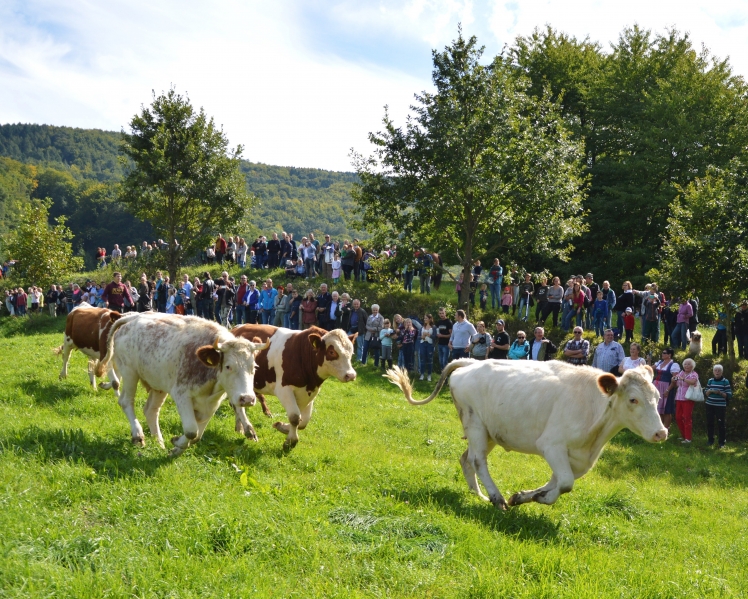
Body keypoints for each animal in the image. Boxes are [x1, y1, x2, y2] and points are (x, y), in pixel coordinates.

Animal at [95, 312, 266, 458]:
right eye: (229, 366)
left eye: (254, 367)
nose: (247, 399)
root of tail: (131, 317)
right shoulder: (181, 394)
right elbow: (191, 431)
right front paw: (177, 443)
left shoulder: (212, 403)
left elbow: (197, 436)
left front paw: (176, 448)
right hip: (130, 372)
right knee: (126, 402)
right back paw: (138, 435)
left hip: (158, 383)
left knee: (151, 410)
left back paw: (159, 443)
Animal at [386, 358, 668, 508]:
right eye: (633, 400)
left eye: (657, 396)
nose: (661, 433)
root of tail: (472, 362)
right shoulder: (551, 445)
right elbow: (565, 483)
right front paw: (537, 498)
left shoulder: (579, 460)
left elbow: (558, 482)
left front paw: (524, 496)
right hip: (475, 423)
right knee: (477, 460)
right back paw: (496, 498)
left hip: (489, 431)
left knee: (466, 458)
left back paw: (480, 494)